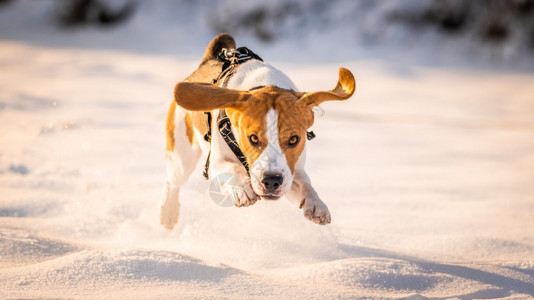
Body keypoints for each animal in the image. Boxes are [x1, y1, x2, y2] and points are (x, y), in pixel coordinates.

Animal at [162, 33, 356, 230]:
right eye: (253, 138)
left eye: (294, 139)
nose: (272, 181)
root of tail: (207, 61)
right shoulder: (217, 161)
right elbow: (231, 168)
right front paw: (242, 189)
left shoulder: (292, 171)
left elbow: (305, 185)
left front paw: (316, 204)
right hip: (181, 156)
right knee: (172, 183)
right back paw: (168, 213)